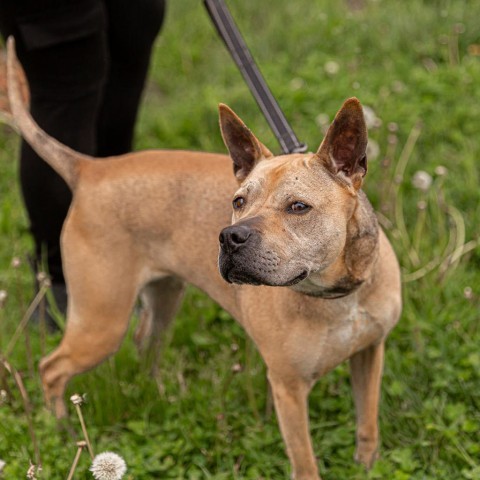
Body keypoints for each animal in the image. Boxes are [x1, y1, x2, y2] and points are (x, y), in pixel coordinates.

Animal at [6, 38, 402, 480]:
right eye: (239, 201)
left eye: (298, 207)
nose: (231, 237)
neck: (338, 293)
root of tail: (90, 169)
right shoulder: (288, 388)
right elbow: (305, 462)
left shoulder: (371, 353)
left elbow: (367, 423)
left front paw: (368, 466)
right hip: (100, 323)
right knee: (51, 369)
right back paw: (59, 427)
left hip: (163, 297)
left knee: (146, 344)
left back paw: (156, 395)